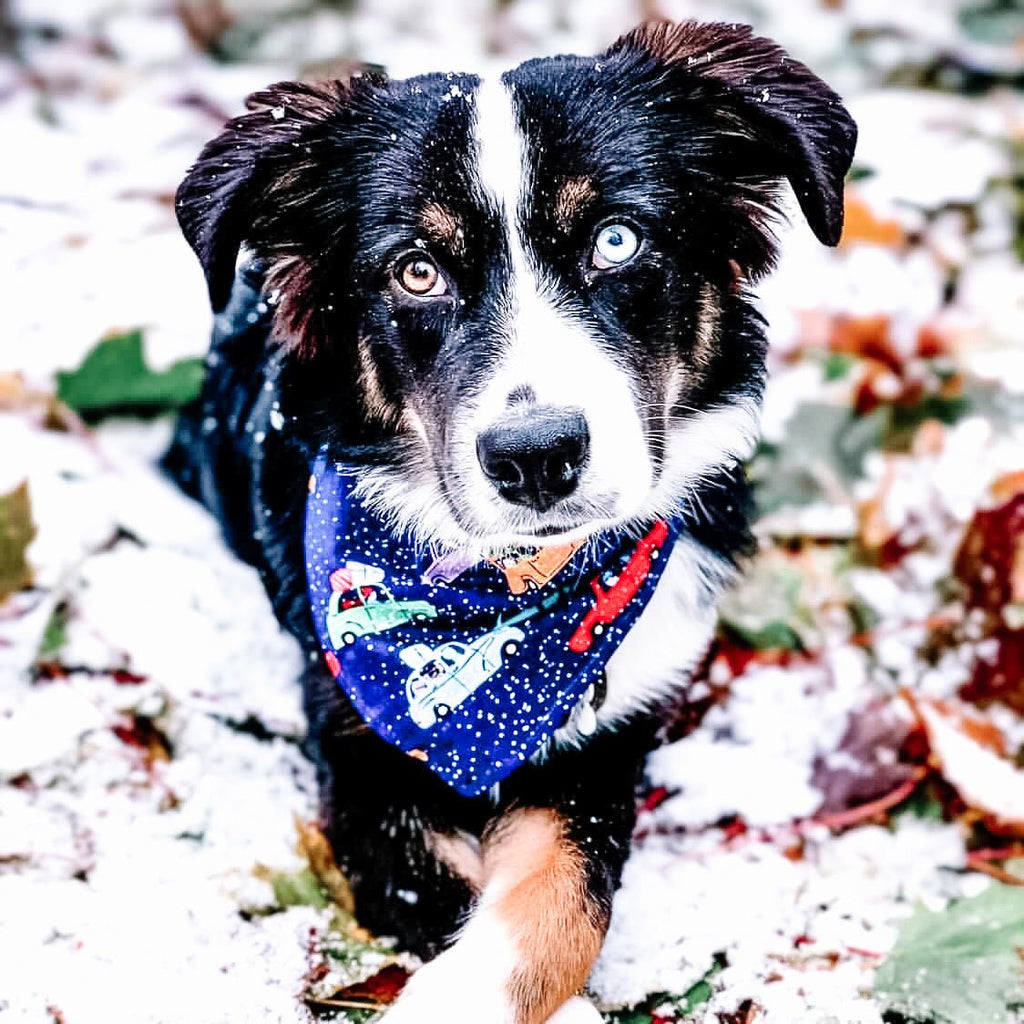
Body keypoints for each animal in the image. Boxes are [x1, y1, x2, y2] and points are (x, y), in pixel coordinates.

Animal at [167, 18, 856, 1024]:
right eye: (417, 271)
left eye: (616, 239)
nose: (536, 455)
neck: (512, 591)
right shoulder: (359, 755)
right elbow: (437, 889)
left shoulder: (604, 747)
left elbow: (567, 899)